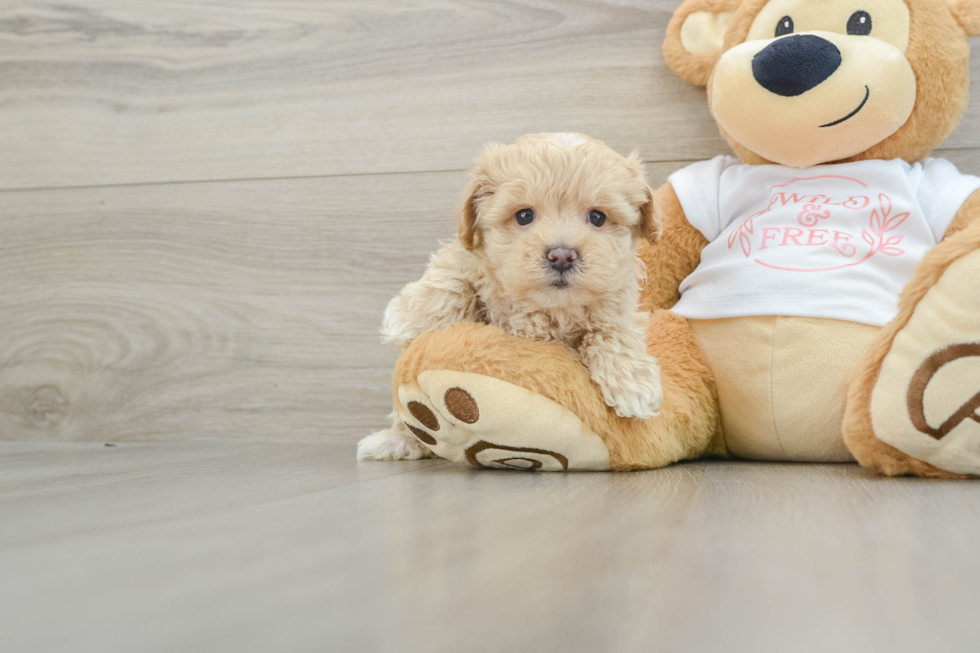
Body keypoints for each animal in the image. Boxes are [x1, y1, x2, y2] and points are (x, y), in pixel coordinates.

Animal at [360, 131, 668, 458]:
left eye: (597, 217)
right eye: (524, 216)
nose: (562, 255)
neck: (546, 308)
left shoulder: (617, 308)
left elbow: (613, 333)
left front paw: (634, 383)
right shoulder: (468, 257)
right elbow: (454, 276)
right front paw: (407, 317)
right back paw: (394, 440)